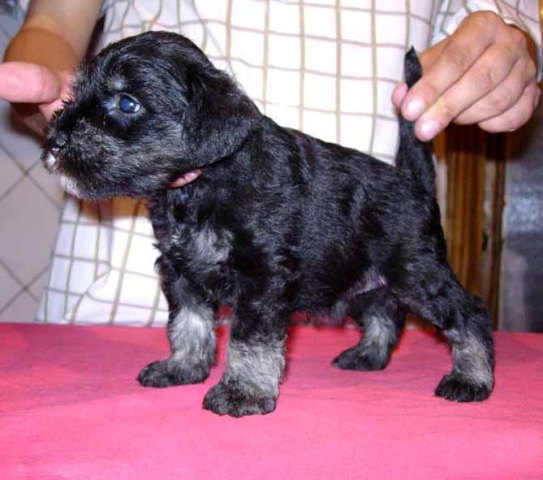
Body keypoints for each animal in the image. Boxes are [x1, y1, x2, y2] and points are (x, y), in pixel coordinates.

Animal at [44, 31, 494, 417]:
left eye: (126, 103)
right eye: (76, 93)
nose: (54, 141)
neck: (205, 182)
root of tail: (414, 182)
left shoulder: (261, 279)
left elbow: (249, 341)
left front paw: (241, 392)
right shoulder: (181, 271)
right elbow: (189, 323)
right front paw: (182, 368)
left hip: (416, 271)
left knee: (468, 313)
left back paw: (471, 378)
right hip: (366, 279)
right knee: (385, 312)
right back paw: (366, 355)